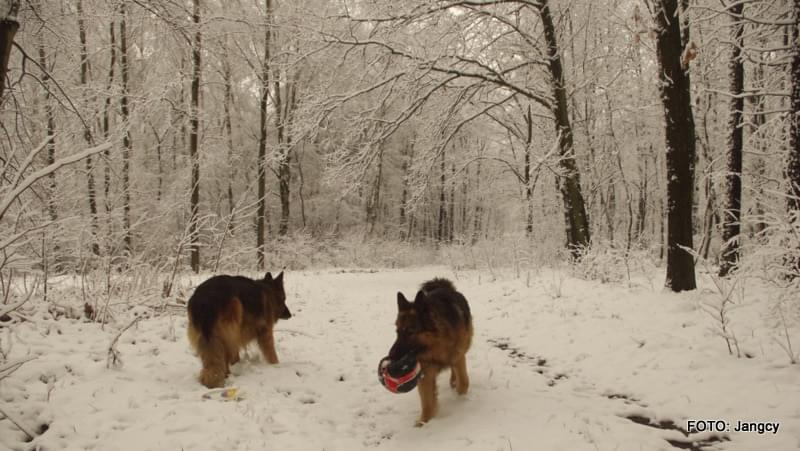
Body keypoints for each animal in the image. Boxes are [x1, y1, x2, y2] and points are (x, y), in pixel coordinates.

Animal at [389, 278, 473, 426]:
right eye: (397, 332)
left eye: (410, 332)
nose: (390, 355)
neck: (436, 344)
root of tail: (443, 286)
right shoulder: (425, 374)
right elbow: (427, 403)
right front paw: (423, 424)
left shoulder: (458, 357)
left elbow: (463, 383)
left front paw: (460, 402)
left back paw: (453, 381)